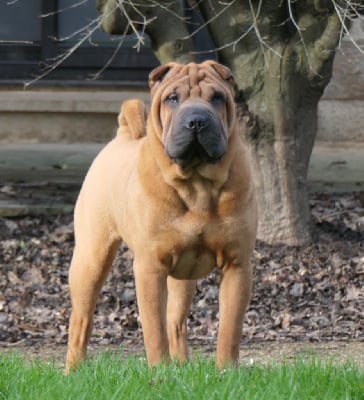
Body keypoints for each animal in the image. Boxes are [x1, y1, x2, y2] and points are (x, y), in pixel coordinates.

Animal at [66, 60, 258, 372]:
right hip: (90, 259)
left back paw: (181, 366)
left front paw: (226, 372)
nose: (197, 121)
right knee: (81, 320)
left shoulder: (237, 264)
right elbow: (154, 330)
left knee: (176, 321)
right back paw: (73, 371)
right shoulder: (150, 267)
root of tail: (121, 136)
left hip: (184, 277)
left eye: (217, 97)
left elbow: (229, 328)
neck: (197, 186)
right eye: (173, 99)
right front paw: (159, 372)